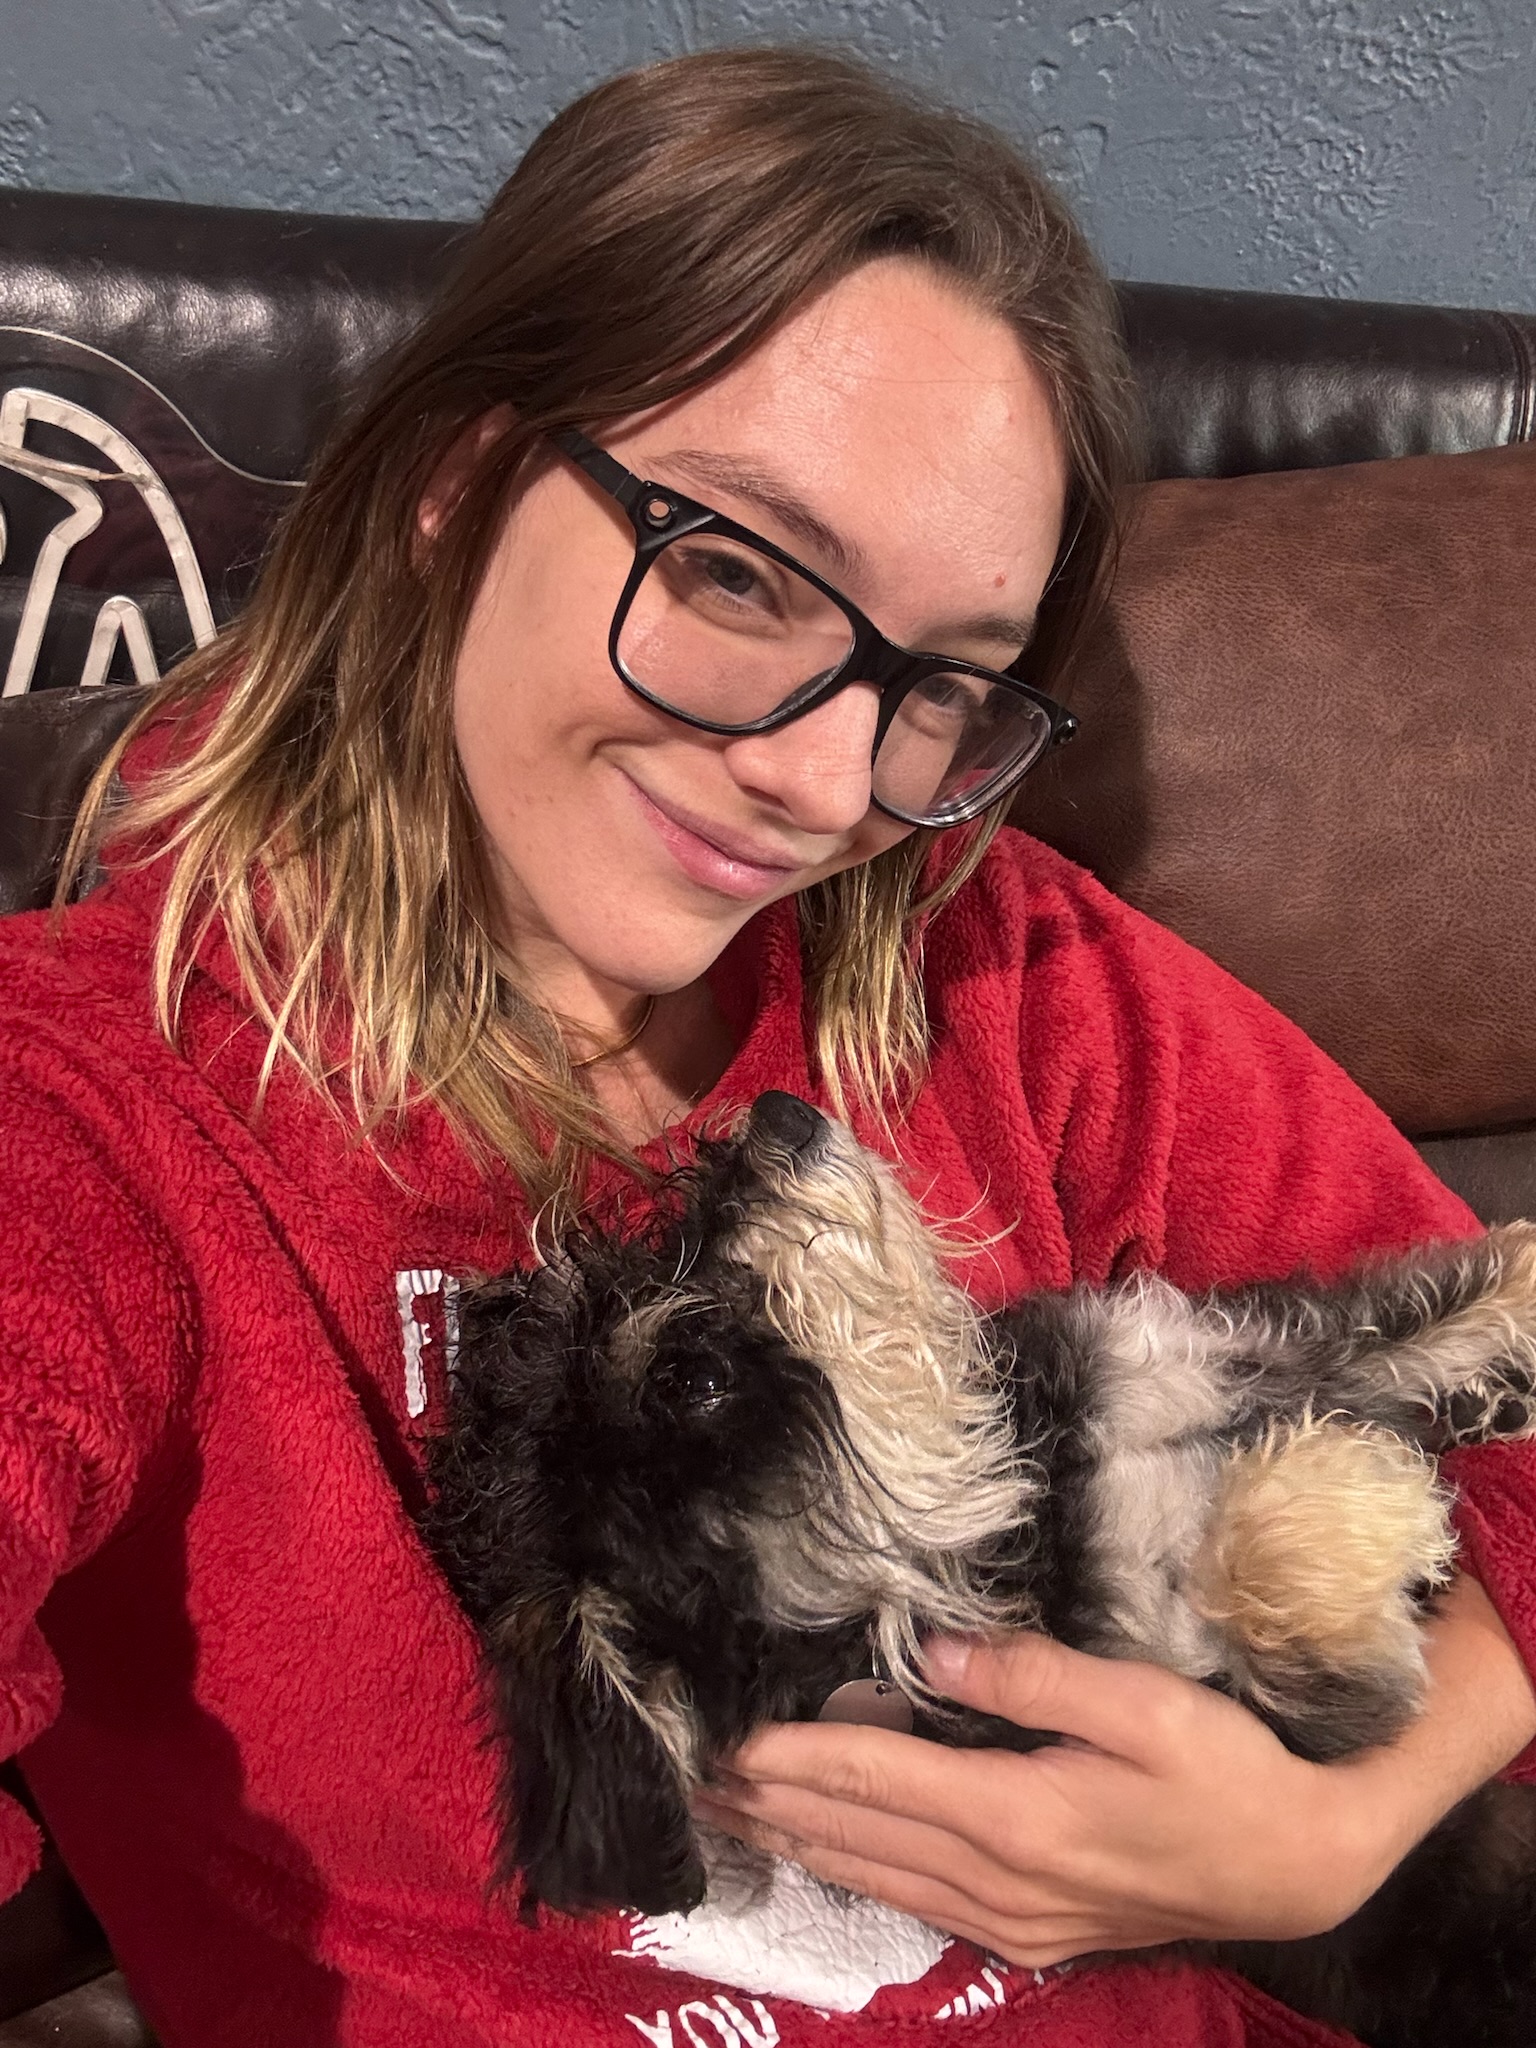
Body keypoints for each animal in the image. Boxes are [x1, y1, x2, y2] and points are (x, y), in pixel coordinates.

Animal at [426, 1089, 1536, 2048]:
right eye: (694, 1381)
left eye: (639, 1260)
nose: (772, 1120)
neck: (1006, 1490)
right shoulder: (1297, 1723)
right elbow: (1267, 1556)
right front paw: (1366, 1486)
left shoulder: (1245, 1351)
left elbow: (1431, 1305)